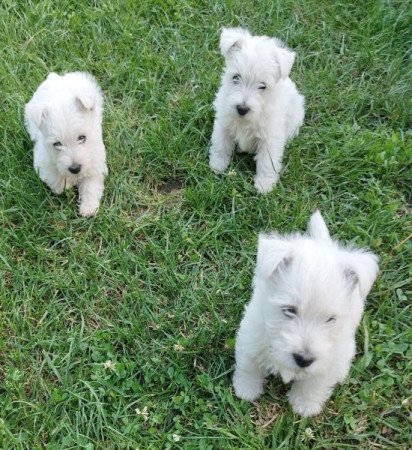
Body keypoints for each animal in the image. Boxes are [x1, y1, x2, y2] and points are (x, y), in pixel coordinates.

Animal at [24, 71, 108, 216]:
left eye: (82, 137)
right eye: (57, 144)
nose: (75, 169)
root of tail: (56, 77)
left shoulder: (96, 164)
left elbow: (91, 186)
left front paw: (88, 208)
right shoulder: (43, 163)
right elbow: (55, 178)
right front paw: (66, 185)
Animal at [211, 27, 304, 193]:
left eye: (263, 86)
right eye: (236, 77)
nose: (242, 109)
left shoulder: (270, 137)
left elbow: (268, 161)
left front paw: (264, 184)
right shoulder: (223, 123)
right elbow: (221, 144)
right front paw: (217, 164)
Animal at [233, 213, 378, 416]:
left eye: (330, 319)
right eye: (289, 310)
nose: (304, 359)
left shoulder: (329, 360)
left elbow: (315, 382)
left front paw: (304, 404)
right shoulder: (251, 334)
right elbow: (249, 364)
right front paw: (247, 389)